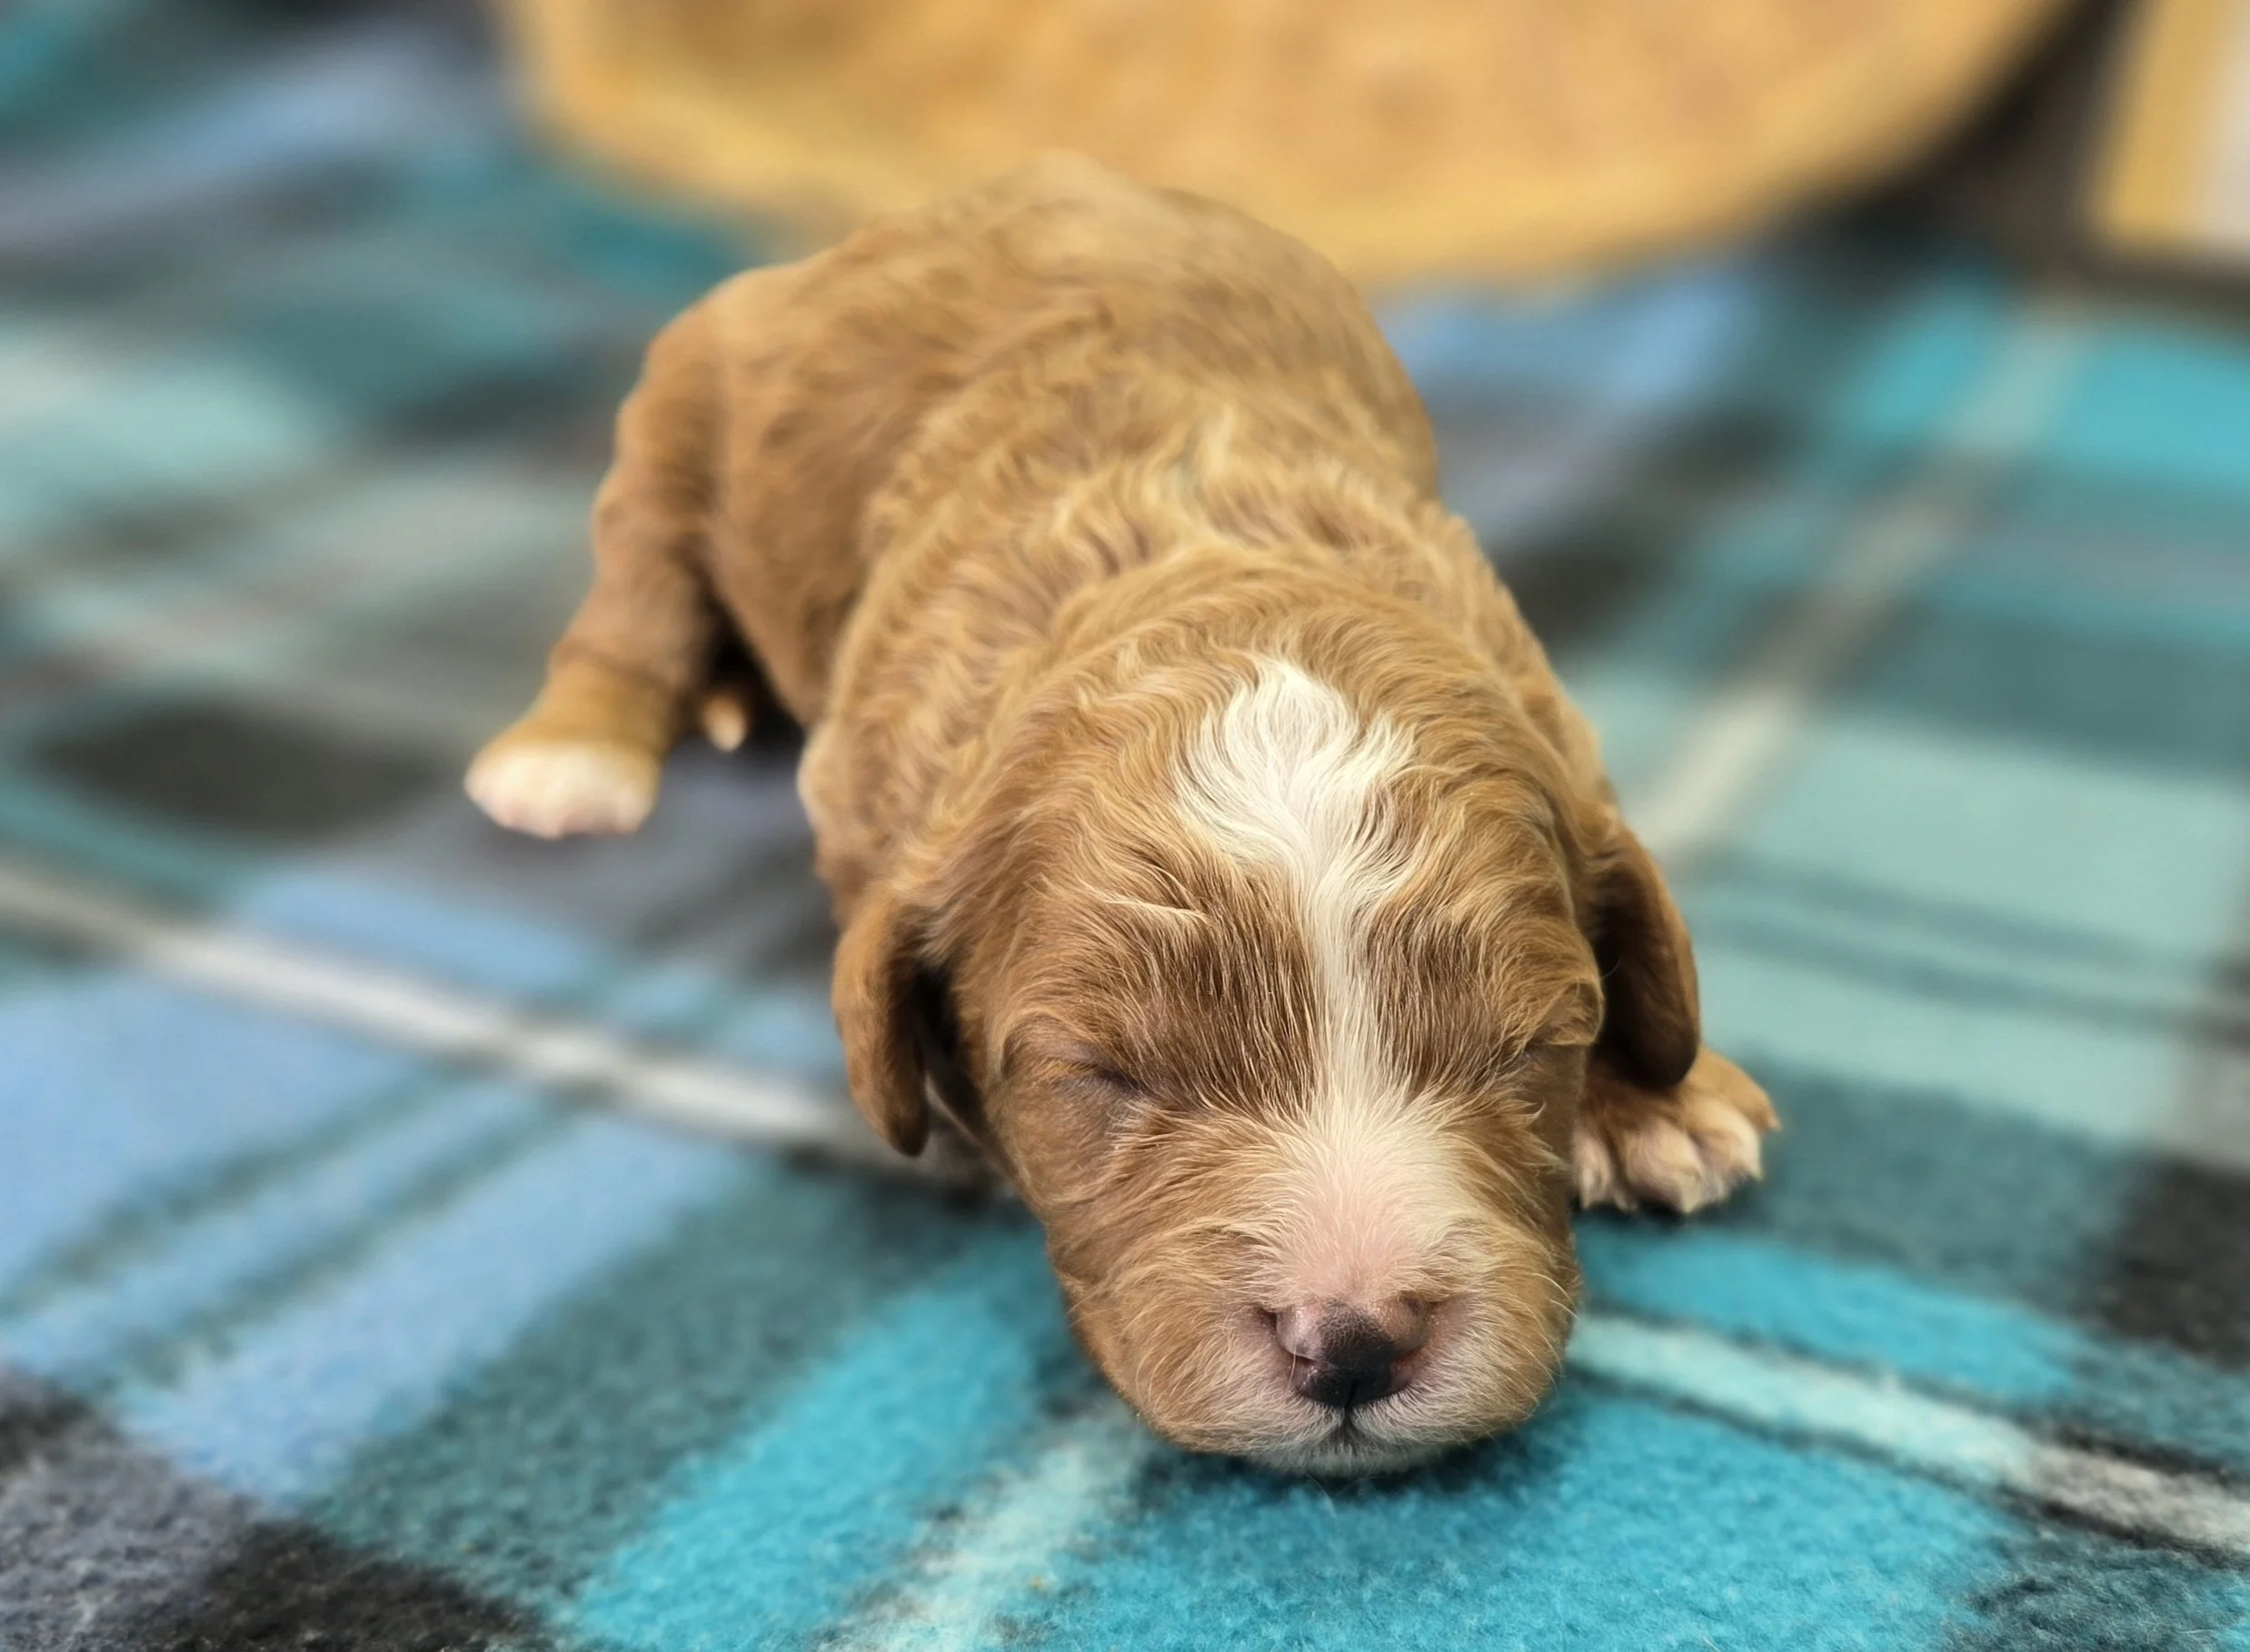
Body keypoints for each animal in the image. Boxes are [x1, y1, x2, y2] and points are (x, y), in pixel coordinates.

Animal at [466, 155, 1777, 1475]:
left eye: (1529, 1049)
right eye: (1104, 1074)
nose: (1356, 1342)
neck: (1213, 561)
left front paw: (1663, 1096)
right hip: (683, 401)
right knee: (635, 597)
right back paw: (576, 758)